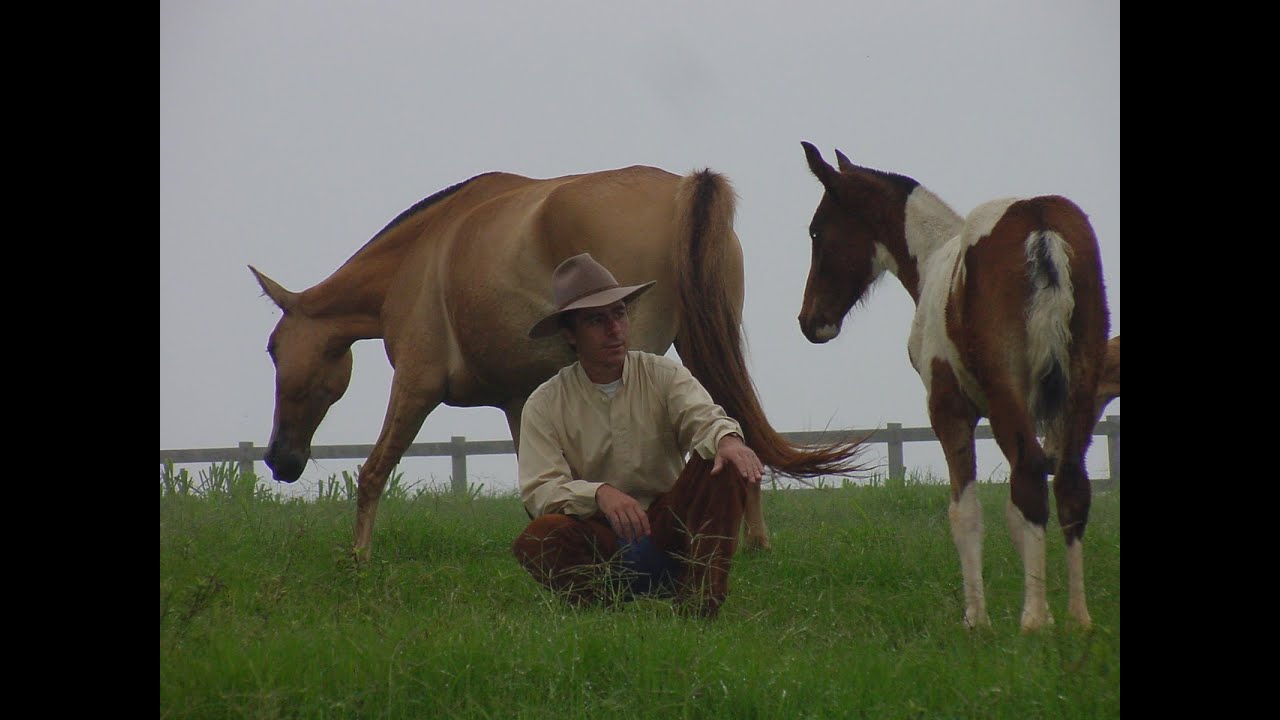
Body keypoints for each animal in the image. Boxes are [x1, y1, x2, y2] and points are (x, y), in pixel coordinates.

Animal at [251, 164, 867, 561]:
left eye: (274, 349)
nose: (279, 458)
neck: (420, 258)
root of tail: (681, 187)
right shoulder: (519, 401)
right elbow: (539, 488)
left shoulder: (415, 385)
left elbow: (374, 469)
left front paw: (358, 557)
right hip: (701, 344)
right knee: (734, 422)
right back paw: (753, 541)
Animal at [797, 142, 1110, 631]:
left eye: (816, 232)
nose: (810, 321)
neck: (934, 263)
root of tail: (1042, 226)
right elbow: (1014, 514)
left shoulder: (950, 407)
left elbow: (966, 511)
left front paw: (977, 618)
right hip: (1079, 388)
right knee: (1071, 485)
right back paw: (1078, 620)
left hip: (1008, 395)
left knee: (1031, 479)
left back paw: (1034, 621)